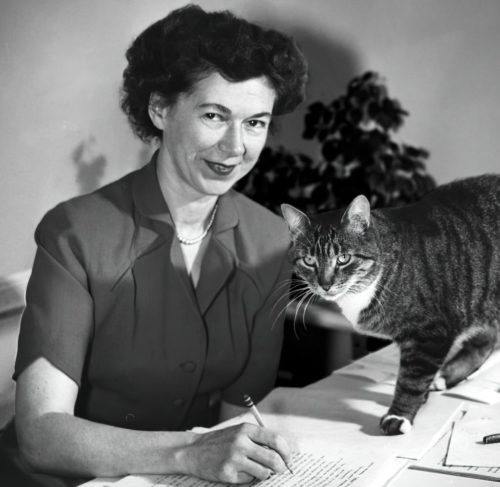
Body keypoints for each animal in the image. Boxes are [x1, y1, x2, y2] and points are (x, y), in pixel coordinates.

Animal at [282, 174, 500, 434]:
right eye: (309, 260)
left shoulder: (430, 334)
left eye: (343, 258)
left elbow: (411, 379)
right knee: (484, 341)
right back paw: (445, 376)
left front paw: (399, 415)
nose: (325, 284)